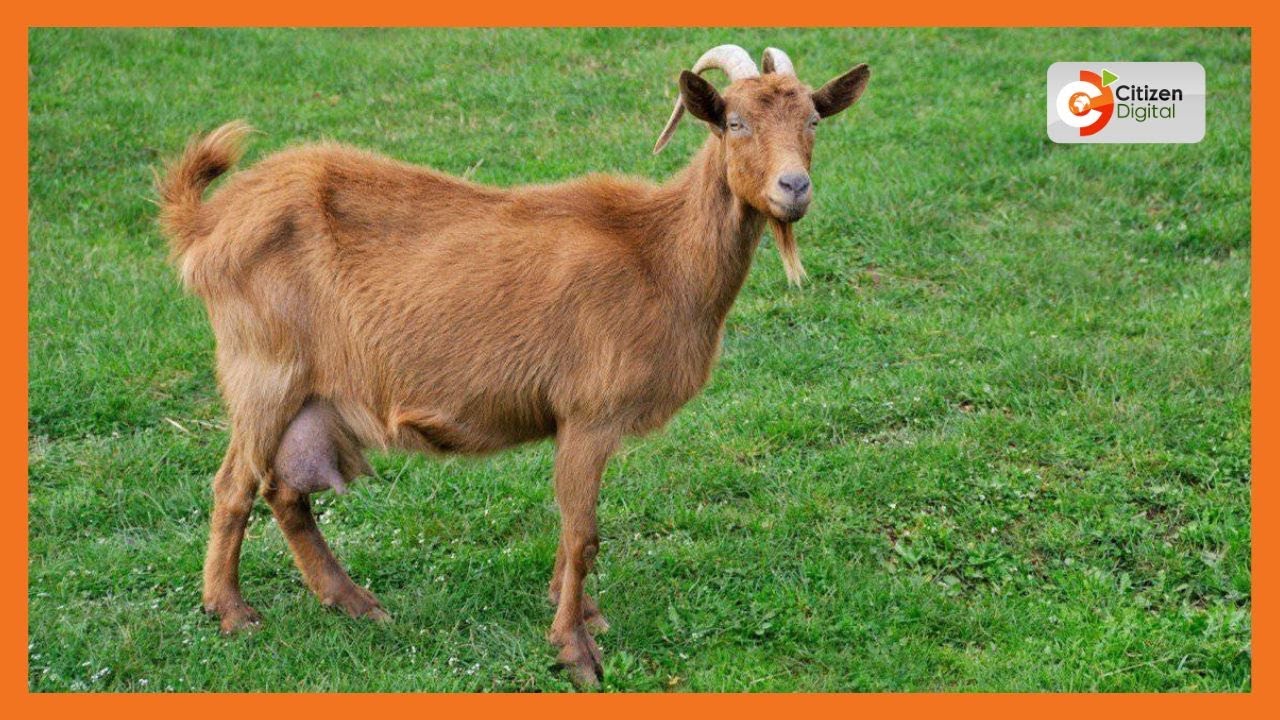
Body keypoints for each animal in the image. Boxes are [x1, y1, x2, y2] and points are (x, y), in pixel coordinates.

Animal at [157, 44, 869, 686]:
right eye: (734, 121)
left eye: (813, 120)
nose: (793, 188)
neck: (658, 254)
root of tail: (208, 224)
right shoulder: (590, 413)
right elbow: (583, 534)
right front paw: (576, 652)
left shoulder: (574, 424)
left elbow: (571, 531)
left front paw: (580, 612)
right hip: (262, 370)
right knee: (234, 485)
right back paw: (233, 613)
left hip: (308, 394)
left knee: (285, 492)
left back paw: (355, 604)